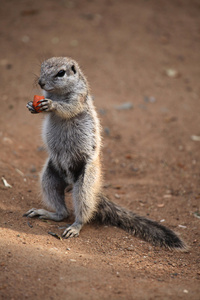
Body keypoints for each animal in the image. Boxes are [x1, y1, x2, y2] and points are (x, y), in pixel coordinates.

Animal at [23, 57, 186, 250]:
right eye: (41, 67)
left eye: (61, 73)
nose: (40, 82)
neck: (58, 93)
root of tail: (71, 182)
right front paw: (31, 106)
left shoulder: (79, 97)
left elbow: (69, 108)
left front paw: (52, 105)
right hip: (49, 176)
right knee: (62, 211)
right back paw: (46, 213)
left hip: (85, 183)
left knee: (81, 211)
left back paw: (75, 227)